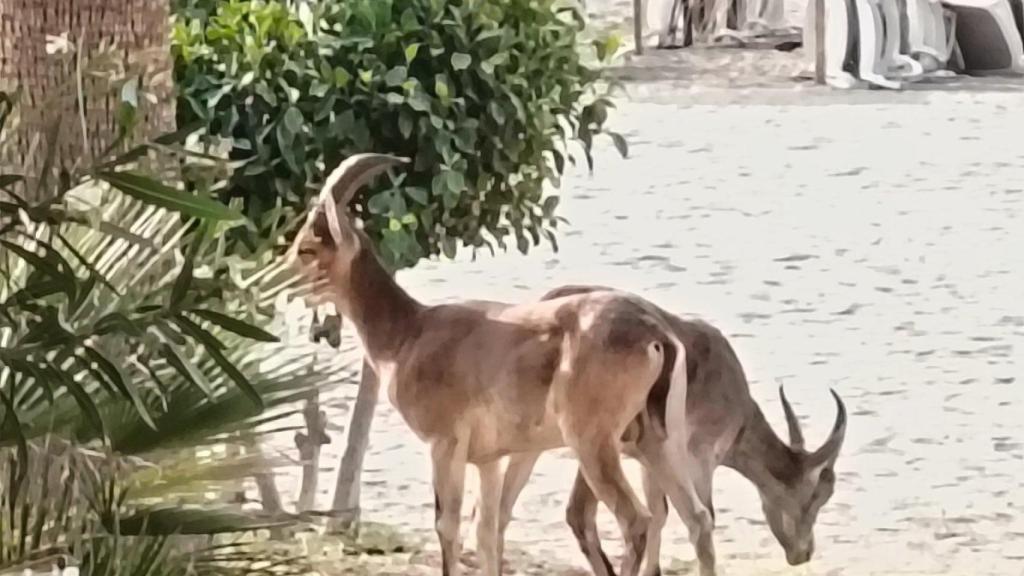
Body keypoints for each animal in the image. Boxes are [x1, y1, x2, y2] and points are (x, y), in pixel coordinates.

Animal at [285, 154, 696, 576]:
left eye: (307, 248)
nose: (279, 284)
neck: (407, 334)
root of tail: (657, 334)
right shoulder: (489, 460)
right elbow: (486, 530)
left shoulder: (445, 444)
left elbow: (447, 526)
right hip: (657, 441)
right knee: (694, 516)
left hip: (594, 442)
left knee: (635, 520)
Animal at [492, 285, 848, 576]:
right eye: (816, 495)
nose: (803, 553)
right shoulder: (700, 457)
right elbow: (695, 513)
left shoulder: (649, 457)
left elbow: (659, 512)